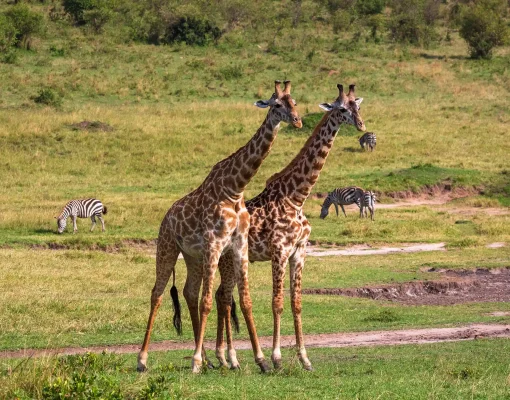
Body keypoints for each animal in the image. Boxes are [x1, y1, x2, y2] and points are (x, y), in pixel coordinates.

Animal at [136, 79, 302, 374]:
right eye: (276, 104)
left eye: (294, 102)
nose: (297, 120)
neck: (235, 188)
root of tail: (166, 217)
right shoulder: (214, 243)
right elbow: (207, 302)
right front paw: (195, 362)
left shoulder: (239, 245)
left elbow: (244, 300)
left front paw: (261, 360)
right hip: (167, 247)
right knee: (157, 293)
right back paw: (143, 360)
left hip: (192, 256)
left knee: (189, 292)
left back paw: (208, 359)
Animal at [213, 83, 364, 370]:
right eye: (342, 109)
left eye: (358, 107)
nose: (361, 125)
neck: (297, 196)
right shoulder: (280, 251)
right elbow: (277, 303)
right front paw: (276, 358)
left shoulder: (299, 251)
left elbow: (296, 303)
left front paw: (305, 359)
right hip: (226, 259)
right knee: (224, 297)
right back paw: (229, 358)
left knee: (221, 296)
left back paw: (224, 358)